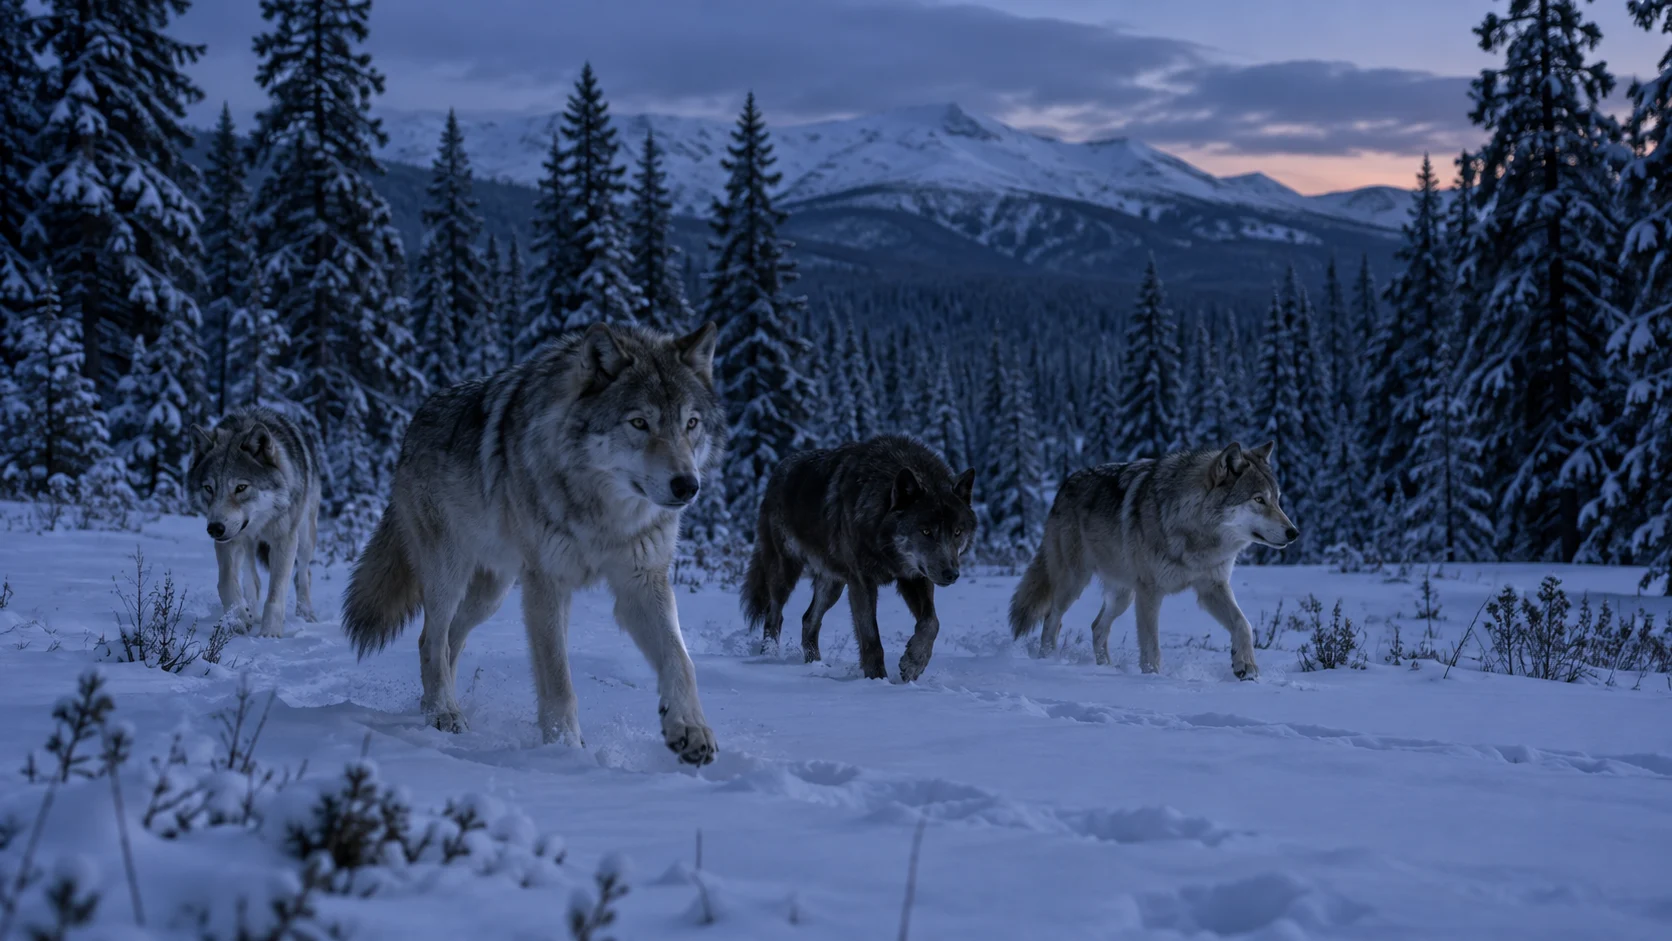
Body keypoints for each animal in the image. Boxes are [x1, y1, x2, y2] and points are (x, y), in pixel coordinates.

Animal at [187, 407, 323, 638]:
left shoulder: (284, 540)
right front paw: (237, 619)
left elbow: (276, 593)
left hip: (306, 537)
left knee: (304, 573)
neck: (259, 521)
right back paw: (250, 612)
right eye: (209, 488)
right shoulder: (229, 540)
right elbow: (226, 582)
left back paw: (306, 613)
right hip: (246, 545)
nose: (214, 529)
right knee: (254, 581)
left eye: (241, 488)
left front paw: (270, 634)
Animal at [341, 322, 725, 766]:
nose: (687, 485)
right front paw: (566, 749)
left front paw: (691, 730)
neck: (603, 513)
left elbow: (681, 661)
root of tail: (414, 422)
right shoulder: (547, 585)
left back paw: (439, 704)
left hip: (492, 593)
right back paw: (443, 712)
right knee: (430, 640)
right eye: (639, 423)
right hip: (449, 576)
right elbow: (558, 680)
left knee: (450, 640)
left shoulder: (643, 582)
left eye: (691, 423)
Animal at [743, 435, 976, 683]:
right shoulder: (862, 582)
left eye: (957, 532)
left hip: (833, 584)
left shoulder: (914, 577)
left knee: (808, 620)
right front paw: (877, 681)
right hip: (785, 572)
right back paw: (770, 657)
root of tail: (778, 469)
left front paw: (914, 662)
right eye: (926, 531)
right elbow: (871, 639)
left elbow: (931, 622)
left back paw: (816, 666)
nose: (951, 574)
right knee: (774, 615)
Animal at [1008, 441, 1297, 679]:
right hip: (1075, 582)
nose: (1294, 532)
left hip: (1122, 595)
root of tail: (1063, 486)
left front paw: (1246, 666)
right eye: (1259, 499)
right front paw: (1153, 680)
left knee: (1097, 627)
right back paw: (1048, 661)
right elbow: (1151, 645)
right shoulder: (1150, 592)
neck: (1194, 534)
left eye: (1278, 500)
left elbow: (1243, 624)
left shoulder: (1212, 587)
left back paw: (1106, 668)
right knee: (1052, 619)